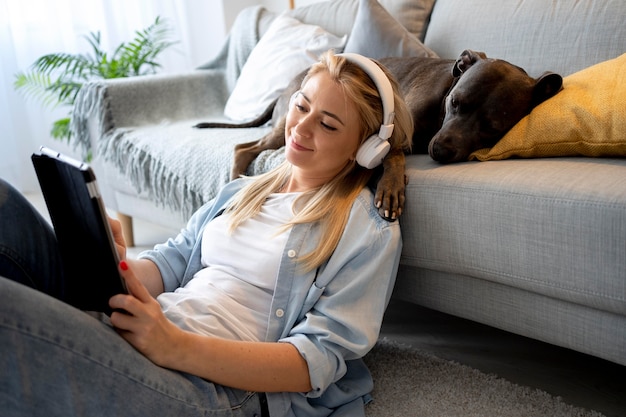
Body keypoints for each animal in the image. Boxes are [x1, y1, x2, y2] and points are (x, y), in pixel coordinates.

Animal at [195, 50, 560, 219]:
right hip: (289, 126)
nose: (440, 151)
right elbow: (393, 152)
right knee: (244, 147)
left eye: (491, 128)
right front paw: (391, 187)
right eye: (455, 102)